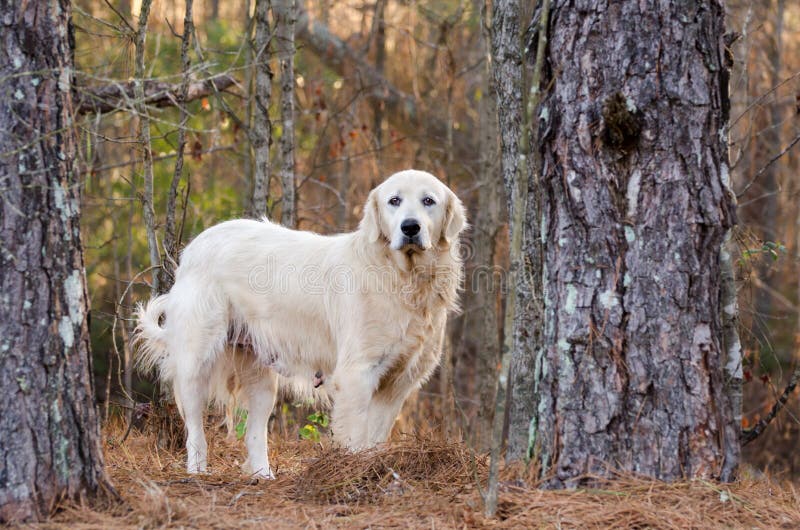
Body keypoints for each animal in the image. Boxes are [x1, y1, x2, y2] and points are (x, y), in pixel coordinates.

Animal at [134, 168, 466, 474]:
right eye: (394, 201)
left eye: (428, 201)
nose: (410, 227)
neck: (403, 278)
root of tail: (195, 245)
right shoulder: (357, 375)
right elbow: (356, 438)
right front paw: (355, 472)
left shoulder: (398, 383)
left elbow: (376, 437)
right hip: (196, 362)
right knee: (195, 430)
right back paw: (198, 472)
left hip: (260, 378)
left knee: (254, 434)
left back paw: (263, 476)